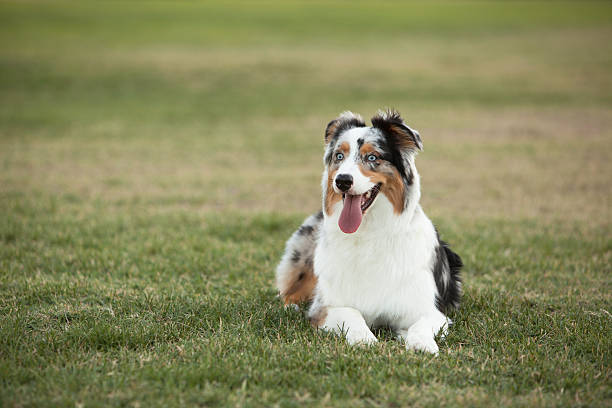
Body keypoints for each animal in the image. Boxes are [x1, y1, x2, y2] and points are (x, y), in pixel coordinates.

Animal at [274, 109, 462, 354]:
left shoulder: (429, 311)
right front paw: (365, 339)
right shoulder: (325, 307)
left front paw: (422, 344)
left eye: (372, 157)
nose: (342, 180)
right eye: (339, 156)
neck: (369, 232)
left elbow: (420, 325)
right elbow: (352, 314)